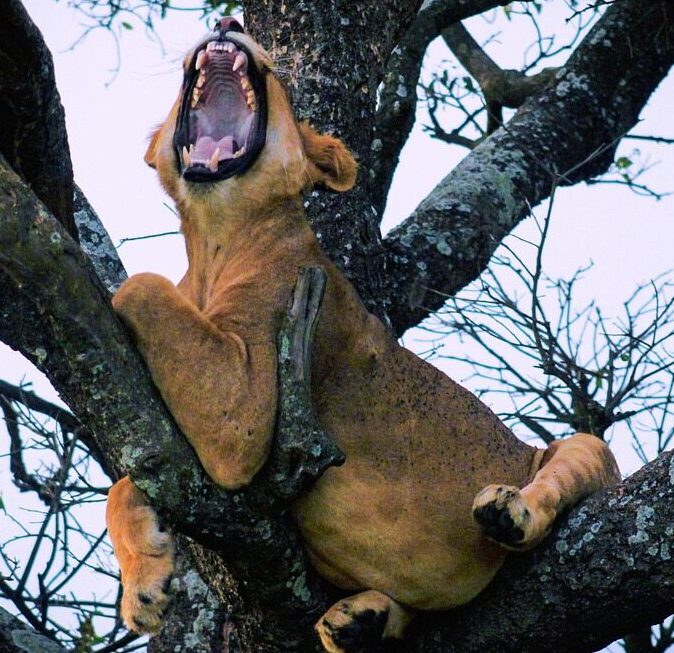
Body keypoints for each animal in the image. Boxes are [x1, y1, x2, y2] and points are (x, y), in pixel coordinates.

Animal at [105, 17, 620, 652]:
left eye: (277, 79)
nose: (229, 22)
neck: (211, 241)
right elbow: (126, 482)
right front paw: (144, 589)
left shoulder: (244, 410)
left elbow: (139, 286)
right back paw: (358, 619)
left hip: (577, 452)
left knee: (563, 472)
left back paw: (508, 512)